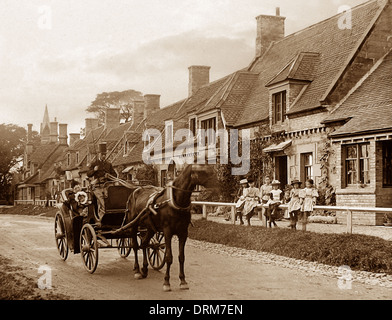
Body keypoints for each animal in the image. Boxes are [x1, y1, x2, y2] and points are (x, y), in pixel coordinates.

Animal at [125, 164, 217, 292]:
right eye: (204, 171)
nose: (218, 184)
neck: (177, 201)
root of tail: (136, 190)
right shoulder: (167, 232)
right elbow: (169, 257)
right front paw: (166, 282)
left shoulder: (183, 233)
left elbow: (181, 257)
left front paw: (183, 281)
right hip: (133, 225)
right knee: (134, 245)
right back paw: (138, 270)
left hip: (151, 228)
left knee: (144, 244)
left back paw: (144, 269)